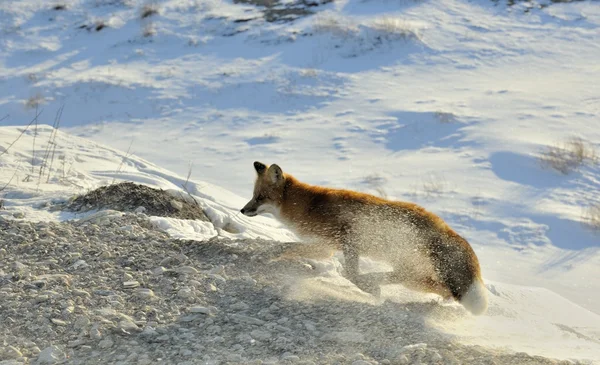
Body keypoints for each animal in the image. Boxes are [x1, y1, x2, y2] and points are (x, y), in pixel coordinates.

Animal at [240, 161, 488, 314]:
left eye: (260, 197)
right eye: (253, 196)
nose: (242, 210)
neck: (308, 206)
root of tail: (445, 227)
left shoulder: (342, 241)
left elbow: (349, 273)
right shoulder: (325, 246)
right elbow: (283, 248)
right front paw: (266, 255)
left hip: (408, 268)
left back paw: (372, 283)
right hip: (413, 276)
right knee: (440, 289)